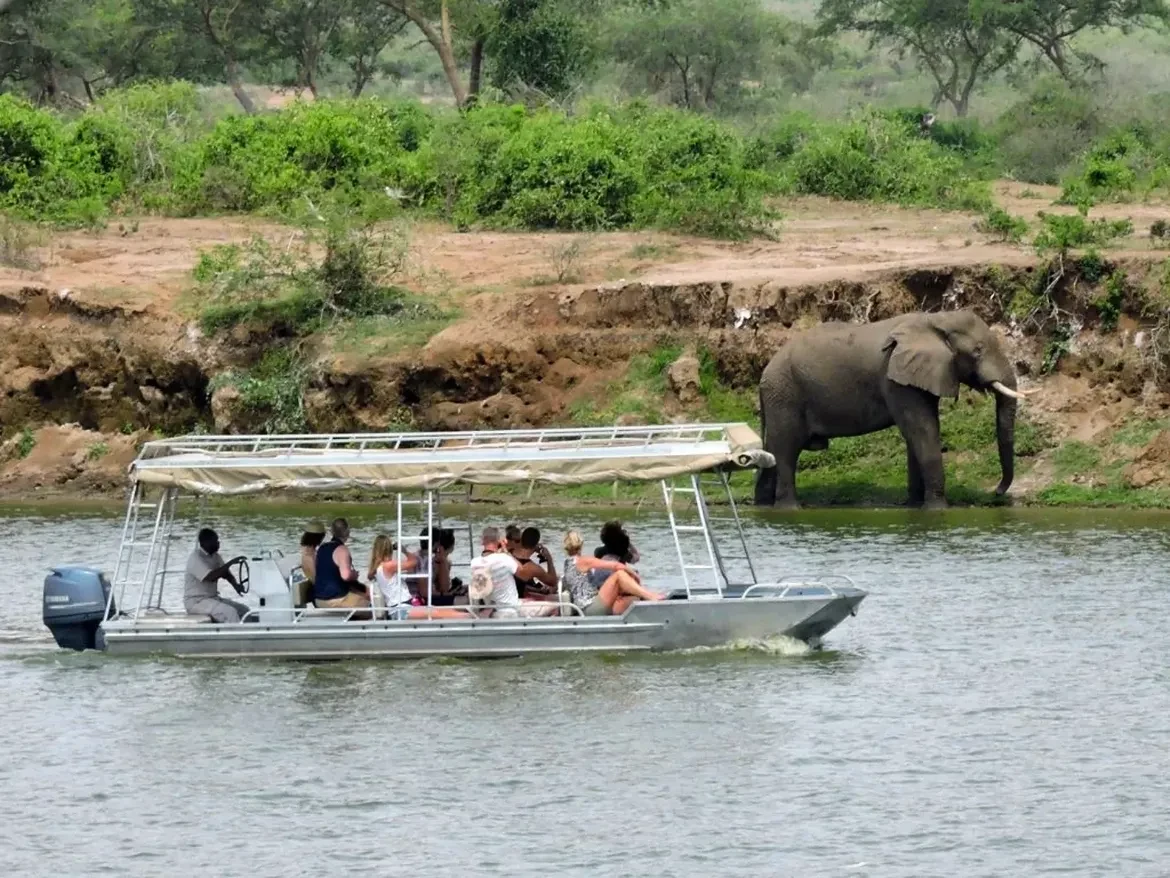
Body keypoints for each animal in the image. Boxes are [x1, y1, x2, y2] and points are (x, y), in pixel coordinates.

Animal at [753, 309, 1032, 509]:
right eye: (977, 351)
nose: (997, 493)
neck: (935, 318)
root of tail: (764, 375)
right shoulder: (895, 378)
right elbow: (922, 432)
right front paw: (938, 509)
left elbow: (917, 436)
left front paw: (915, 507)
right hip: (785, 396)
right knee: (786, 451)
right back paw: (789, 509)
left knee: (773, 453)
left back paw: (762, 507)